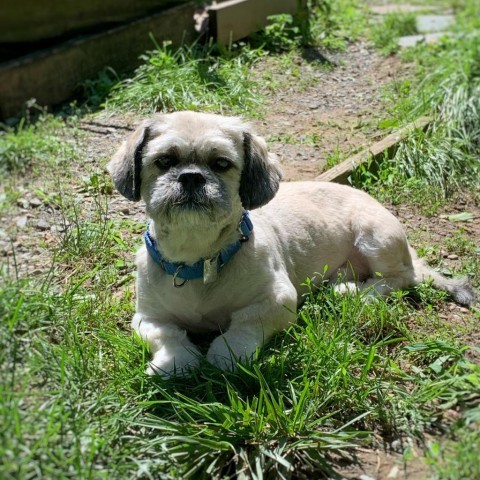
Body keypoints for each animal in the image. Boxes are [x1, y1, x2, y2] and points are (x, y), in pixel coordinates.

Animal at [108, 111, 472, 376]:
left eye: (221, 164)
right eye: (165, 161)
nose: (191, 177)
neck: (200, 260)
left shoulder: (278, 299)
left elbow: (243, 325)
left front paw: (225, 354)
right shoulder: (147, 317)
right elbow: (168, 335)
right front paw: (174, 362)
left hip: (374, 235)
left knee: (399, 278)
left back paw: (357, 292)